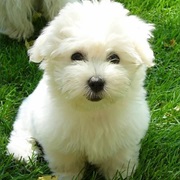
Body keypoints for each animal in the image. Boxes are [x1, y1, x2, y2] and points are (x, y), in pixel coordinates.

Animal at [6, 0, 154, 179]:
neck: (93, 111)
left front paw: (121, 175)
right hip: (28, 113)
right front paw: (68, 176)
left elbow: (119, 163)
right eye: (76, 56)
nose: (96, 82)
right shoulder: (61, 144)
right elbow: (68, 165)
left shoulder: (122, 143)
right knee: (21, 130)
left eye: (115, 58)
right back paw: (23, 152)